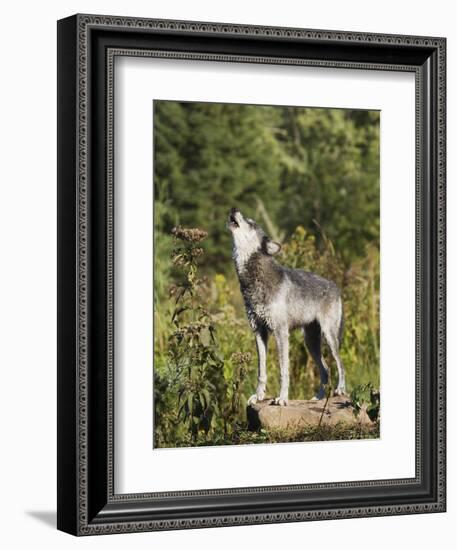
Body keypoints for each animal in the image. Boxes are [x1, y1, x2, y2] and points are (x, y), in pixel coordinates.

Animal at [226, 209, 344, 408]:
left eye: (251, 223)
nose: (234, 209)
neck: (254, 280)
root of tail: (335, 285)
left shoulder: (281, 332)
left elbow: (283, 371)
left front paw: (282, 398)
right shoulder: (259, 332)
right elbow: (261, 371)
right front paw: (258, 396)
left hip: (329, 336)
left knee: (340, 364)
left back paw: (341, 390)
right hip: (310, 342)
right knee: (326, 369)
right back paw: (318, 398)